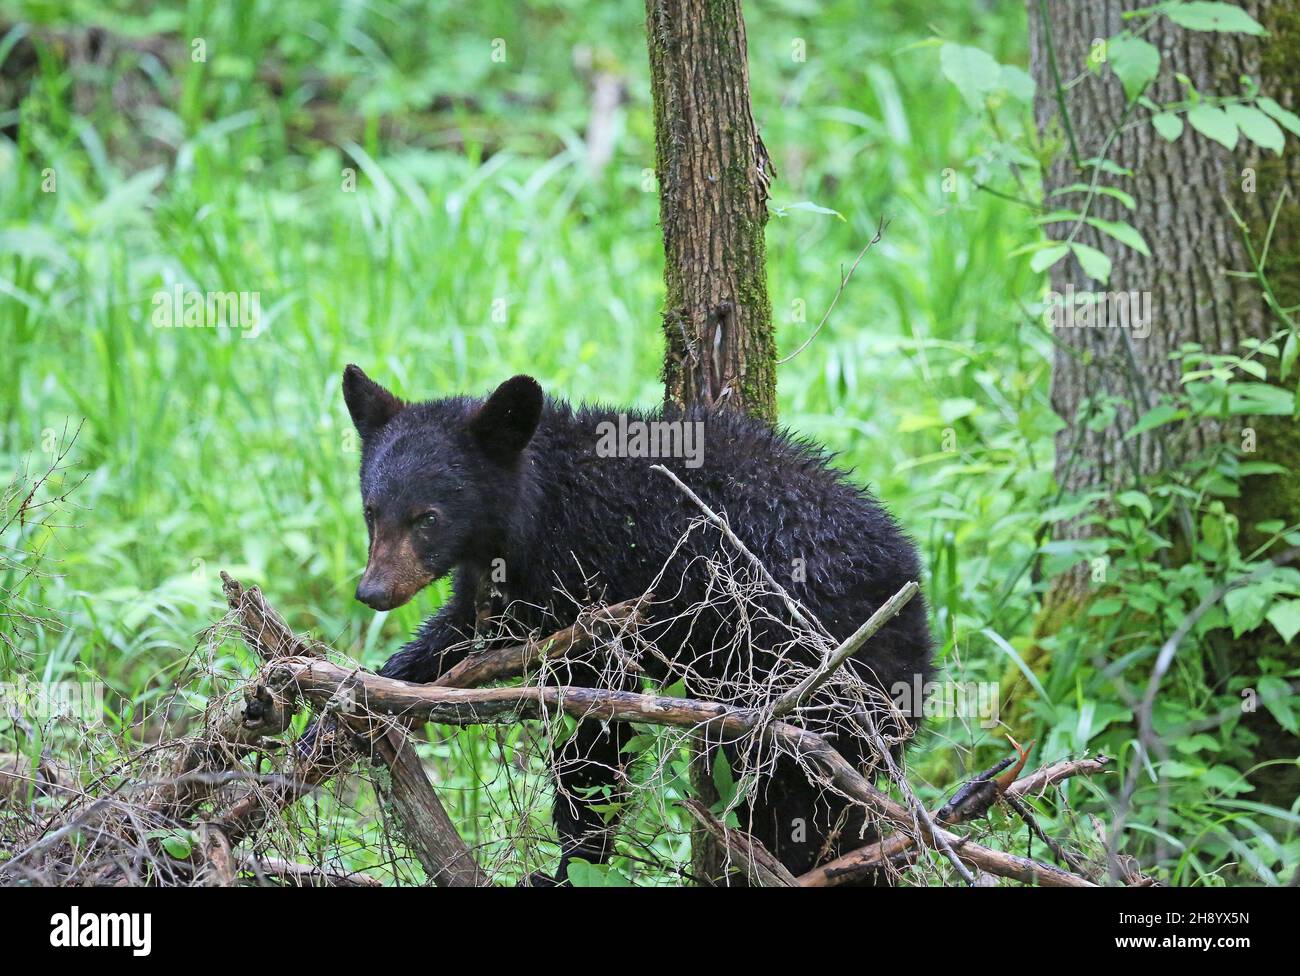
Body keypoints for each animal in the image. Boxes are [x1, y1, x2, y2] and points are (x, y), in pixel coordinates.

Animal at [339, 364, 933, 884]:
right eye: (371, 510)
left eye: (427, 517)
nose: (372, 592)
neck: (538, 509)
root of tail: (913, 599)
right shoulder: (513, 586)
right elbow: (464, 633)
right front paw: (361, 698)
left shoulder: (592, 584)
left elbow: (594, 741)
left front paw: (569, 867)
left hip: (804, 679)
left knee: (795, 801)